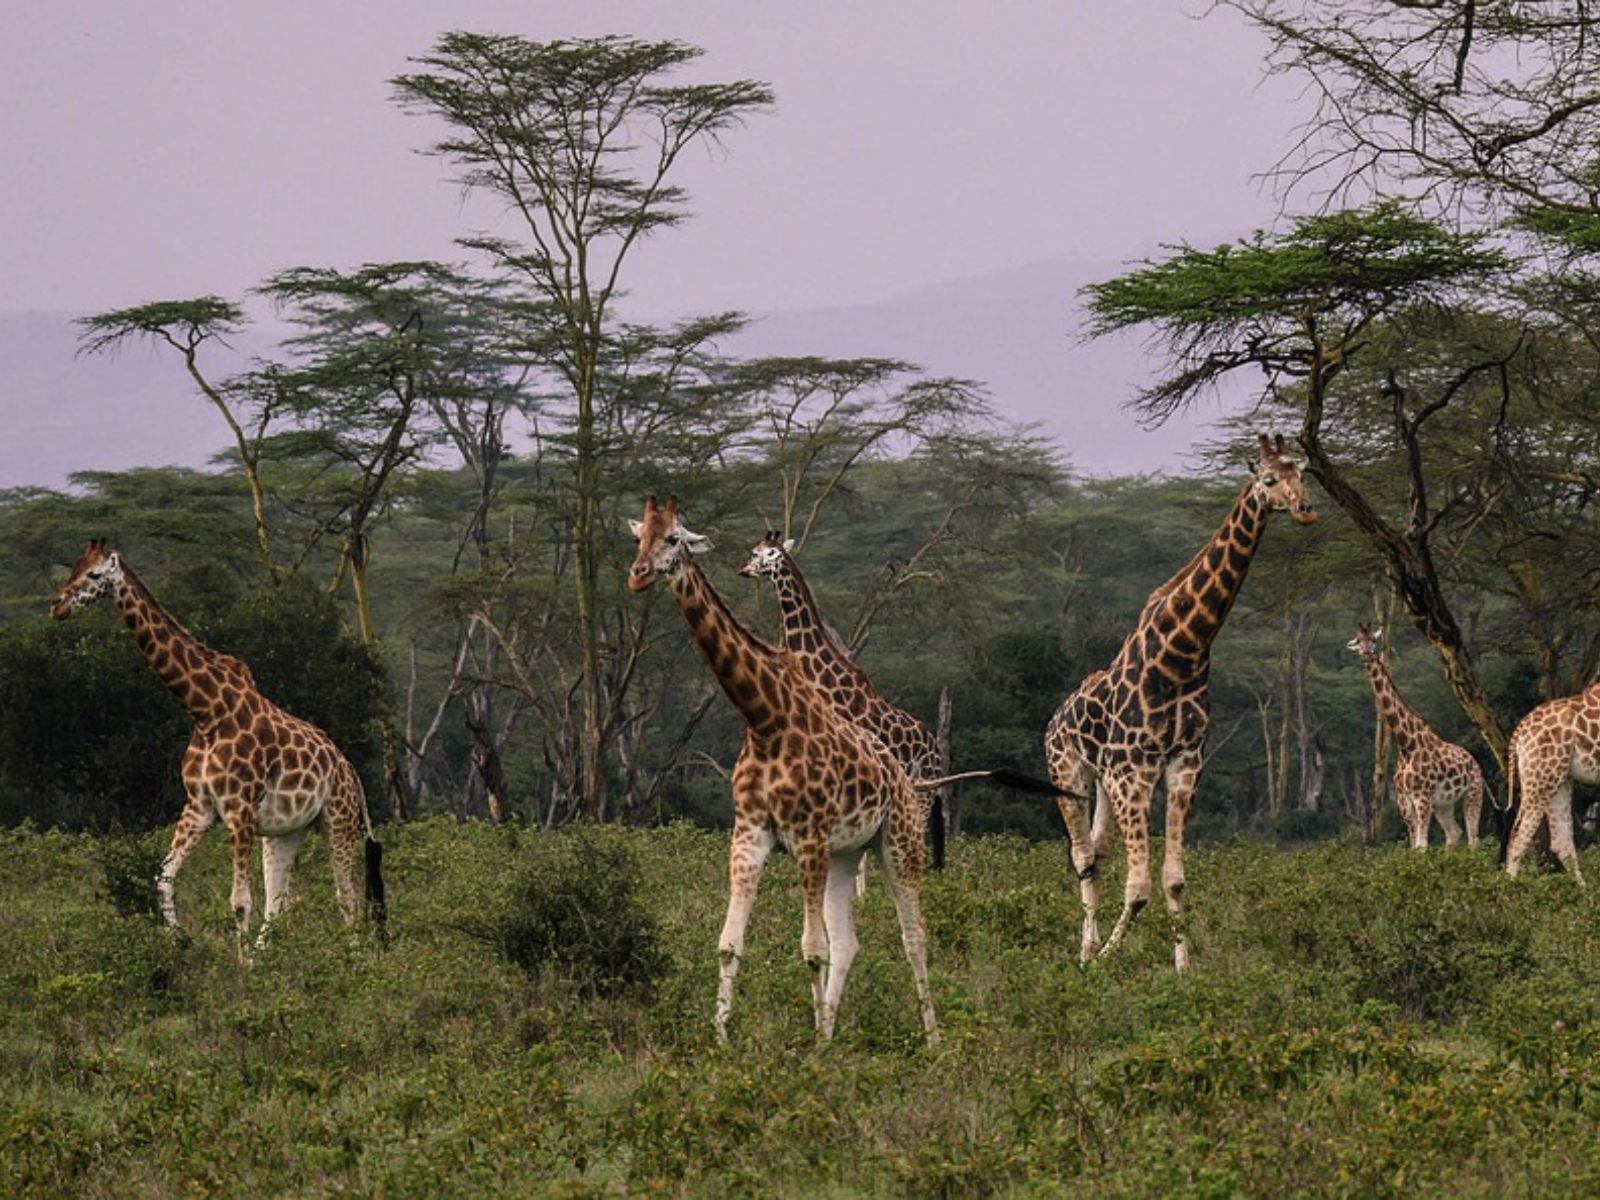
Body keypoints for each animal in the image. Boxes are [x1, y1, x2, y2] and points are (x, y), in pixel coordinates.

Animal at [49, 540, 385, 946]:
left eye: (94, 574)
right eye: (73, 568)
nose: (57, 606)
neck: (206, 713)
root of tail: (351, 772)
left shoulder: (238, 809)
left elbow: (240, 901)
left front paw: (236, 962)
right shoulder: (199, 807)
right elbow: (163, 879)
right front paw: (180, 941)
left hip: (339, 820)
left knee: (346, 898)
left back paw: (352, 957)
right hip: (286, 831)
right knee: (279, 902)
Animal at [1045, 433, 1317, 970]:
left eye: (1301, 471)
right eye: (1269, 478)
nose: (1305, 509)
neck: (1184, 654)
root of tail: (1055, 717)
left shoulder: (1182, 764)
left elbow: (1173, 880)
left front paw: (1184, 970)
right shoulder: (1134, 771)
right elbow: (1139, 886)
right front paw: (1106, 960)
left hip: (1104, 781)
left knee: (1098, 856)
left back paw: (1089, 947)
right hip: (1069, 772)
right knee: (1082, 858)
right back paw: (1085, 954)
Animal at [1347, 624, 1483, 850]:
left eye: (1373, 640)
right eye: (1358, 641)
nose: (1367, 654)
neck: (1406, 744)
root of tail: (1474, 761)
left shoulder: (1422, 797)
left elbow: (1422, 846)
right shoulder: (1405, 801)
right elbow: (1414, 846)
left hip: (1473, 792)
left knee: (1473, 838)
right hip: (1443, 804)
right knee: (1454, 832)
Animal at [1499, 680, 1600, 885]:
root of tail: (1519, 733)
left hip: (1559, 780)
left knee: (1561, 841)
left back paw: (1583, 891)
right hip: (1541, 778)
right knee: (1518, 834)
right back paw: (1510, 888)